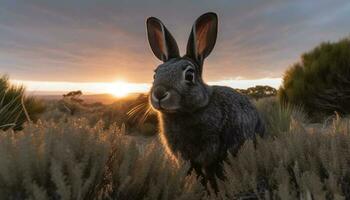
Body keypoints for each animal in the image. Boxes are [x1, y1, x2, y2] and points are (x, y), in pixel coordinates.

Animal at [146, 12, 266, 189]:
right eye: (155, 74)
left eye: (189, 75)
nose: (159, 93)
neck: (183, 113)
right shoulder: (186, 158)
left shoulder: (213, 153)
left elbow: (211, 173)